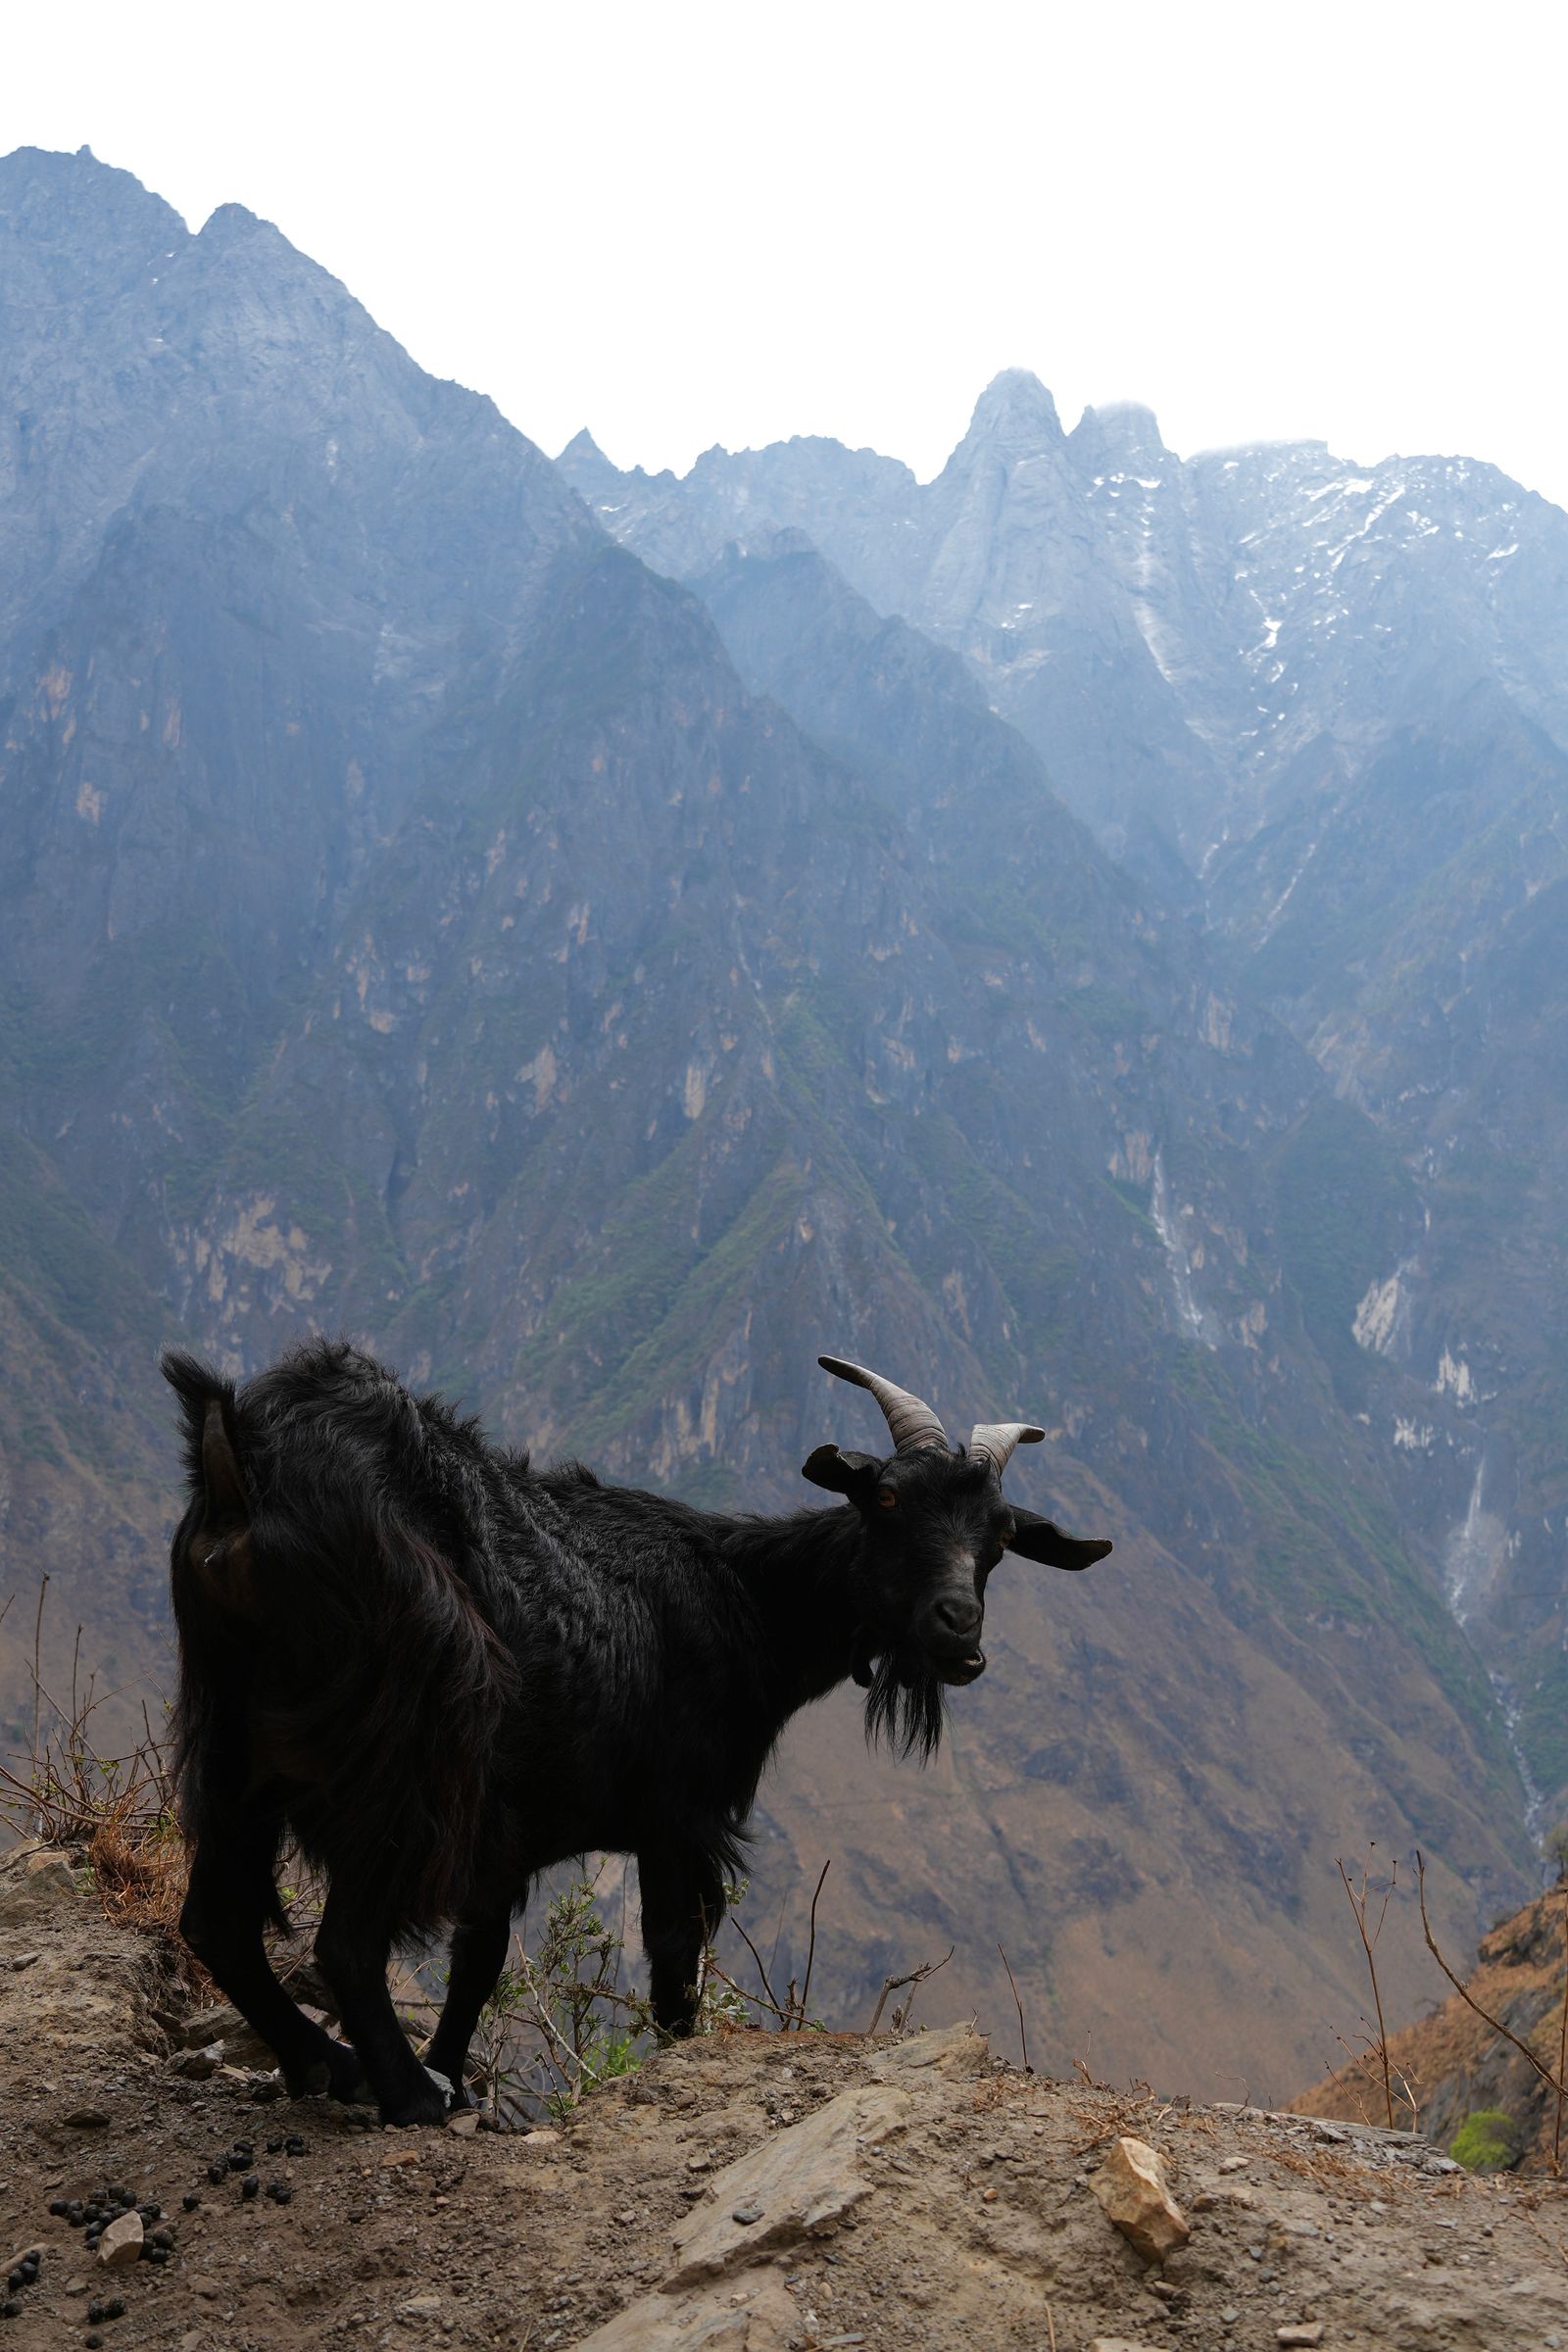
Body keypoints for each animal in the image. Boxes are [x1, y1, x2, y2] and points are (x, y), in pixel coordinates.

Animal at [163, 1338, 1112, 2124]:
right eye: (884, 1496)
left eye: (1000, 1538)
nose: (959, 1632)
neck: (745, 1602)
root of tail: (244, 1459)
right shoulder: (676, 1817)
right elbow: (671, 1964)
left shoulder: (511, 1836)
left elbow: (479, 1959)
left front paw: (459, 2074)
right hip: (410, 1742)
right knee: (346, 1940)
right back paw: (401, 2093)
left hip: (232, 1739)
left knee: (216, 1922)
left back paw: (326, 2063)